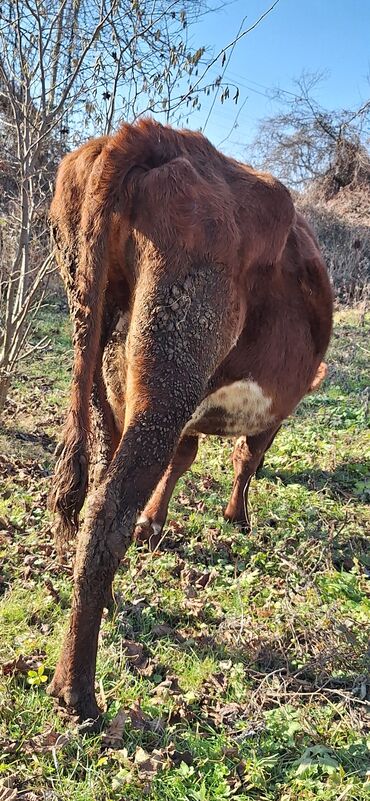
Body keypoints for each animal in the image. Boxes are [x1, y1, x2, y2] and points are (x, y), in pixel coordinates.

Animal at [46, 120, 332, 724]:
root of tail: (154, 136)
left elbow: (183, 457)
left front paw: (155, 525)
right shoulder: (269, 414)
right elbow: (247, 457)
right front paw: (236, 516)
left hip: (101, 350)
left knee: (98, 481)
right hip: (175, 361)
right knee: (106, 509)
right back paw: (77, 691)